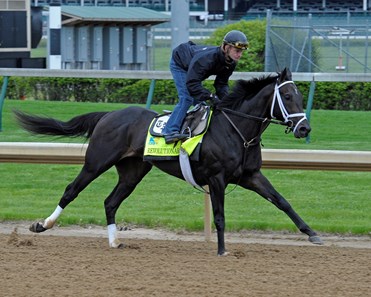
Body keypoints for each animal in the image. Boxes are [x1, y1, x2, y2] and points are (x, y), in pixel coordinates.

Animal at [14, 67, 324, 254]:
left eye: (300, 95)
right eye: (287, 95)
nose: (305, 129)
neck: (237, 129)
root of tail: (108, 114)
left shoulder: (250, 176)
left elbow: (282, 202)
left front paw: (312, 233)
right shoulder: (217, 178)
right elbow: (220, 216)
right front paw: (222, 250)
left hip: (133, 171)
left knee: (110, 202)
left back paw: (115, 242)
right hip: (96, 162)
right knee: (71, 190)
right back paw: (42, 225)